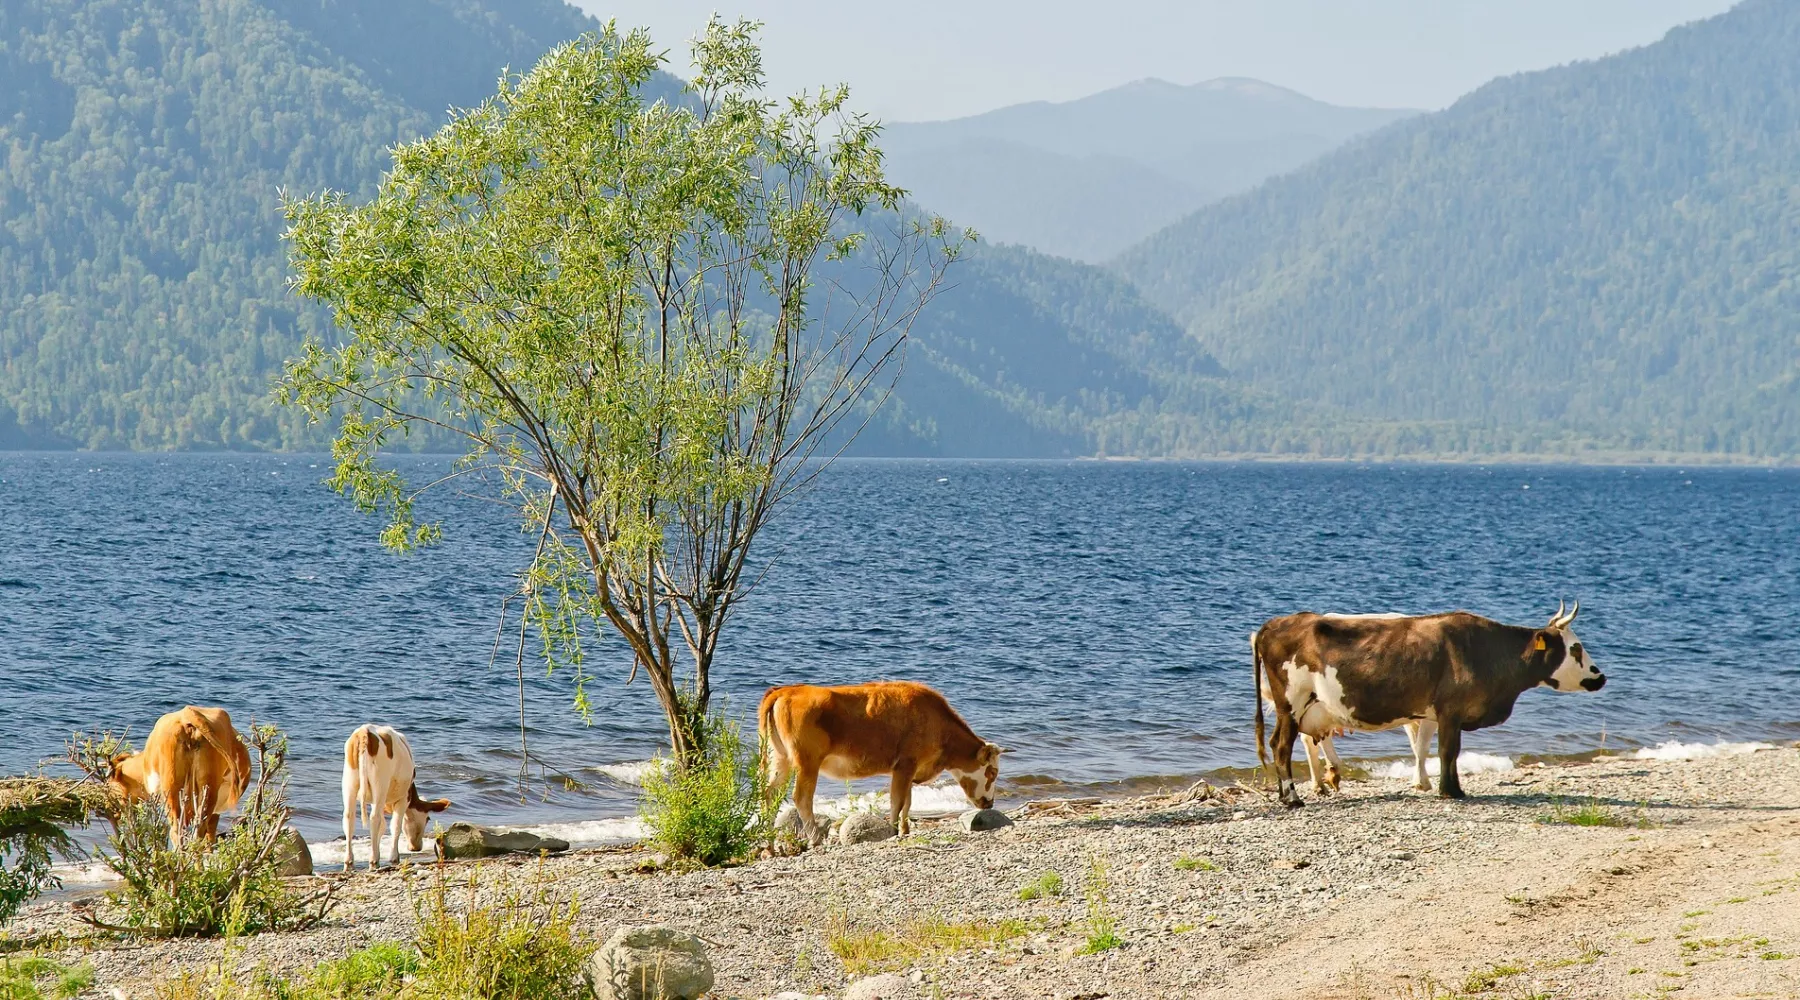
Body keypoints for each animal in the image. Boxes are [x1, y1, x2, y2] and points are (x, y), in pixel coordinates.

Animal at [110, 701, 253, 845]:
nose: (113, 813)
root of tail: (186, 715)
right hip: (206, 789)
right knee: (197, 831)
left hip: (171, 788)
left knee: (180, 832)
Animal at [759, 679, 1015, 845]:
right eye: (992, 772)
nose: (989, 803)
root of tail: (786, 691)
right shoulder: (905, 764)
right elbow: (897, 801)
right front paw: (893, 830)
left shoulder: (908, 769)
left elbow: (907, 802)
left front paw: (904, 829)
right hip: (807, 761)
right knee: (802, 797)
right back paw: (814, 839)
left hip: (779, 758)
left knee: (769, 794)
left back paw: (769, 845)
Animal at [1252, 600, 1605, 805]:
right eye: (1575, 648)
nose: (1600, 676)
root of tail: (1275, 623)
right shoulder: (1449, 711)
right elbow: (1448, 751)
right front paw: (1449, 791)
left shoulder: (1446, 715)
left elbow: (1444, 752)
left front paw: (1453, 788)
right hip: (1291, 703)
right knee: (1282, 746)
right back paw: (1293, 798)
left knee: (1280, 743)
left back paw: (1287, 794)